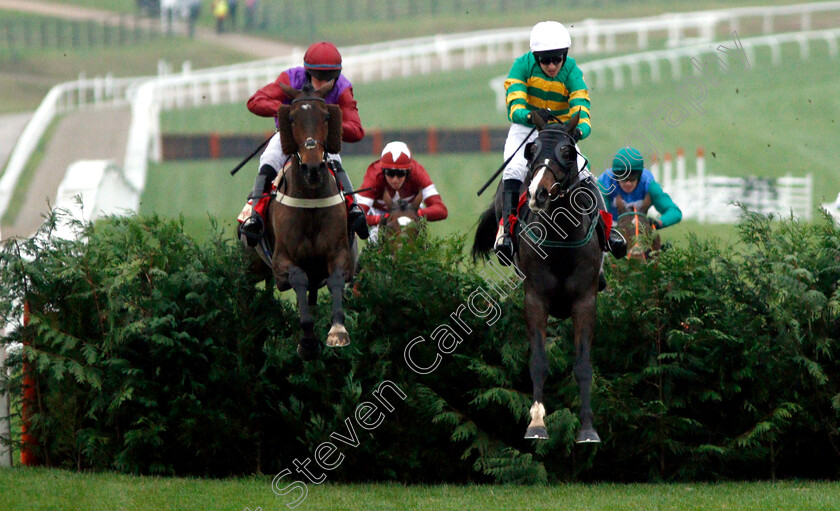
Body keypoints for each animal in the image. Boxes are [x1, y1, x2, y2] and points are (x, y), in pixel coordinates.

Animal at [249, 83, 354, 360]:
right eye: (292, 118)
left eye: (326, 117)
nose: (313, 168)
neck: (311, 200)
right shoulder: (281, 264)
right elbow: (298, 278)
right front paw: (307, 343)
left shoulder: (340, 254)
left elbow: (336, 279)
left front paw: (337, 331)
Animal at [472, 117, 604, 444]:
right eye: (531, 150)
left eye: (568, 152)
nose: (537, 194)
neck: (561, 238)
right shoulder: (535, 298)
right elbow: (539, 363)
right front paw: (536, 423)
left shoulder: (585, 300)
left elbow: (583, 365)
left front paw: (587, 428)